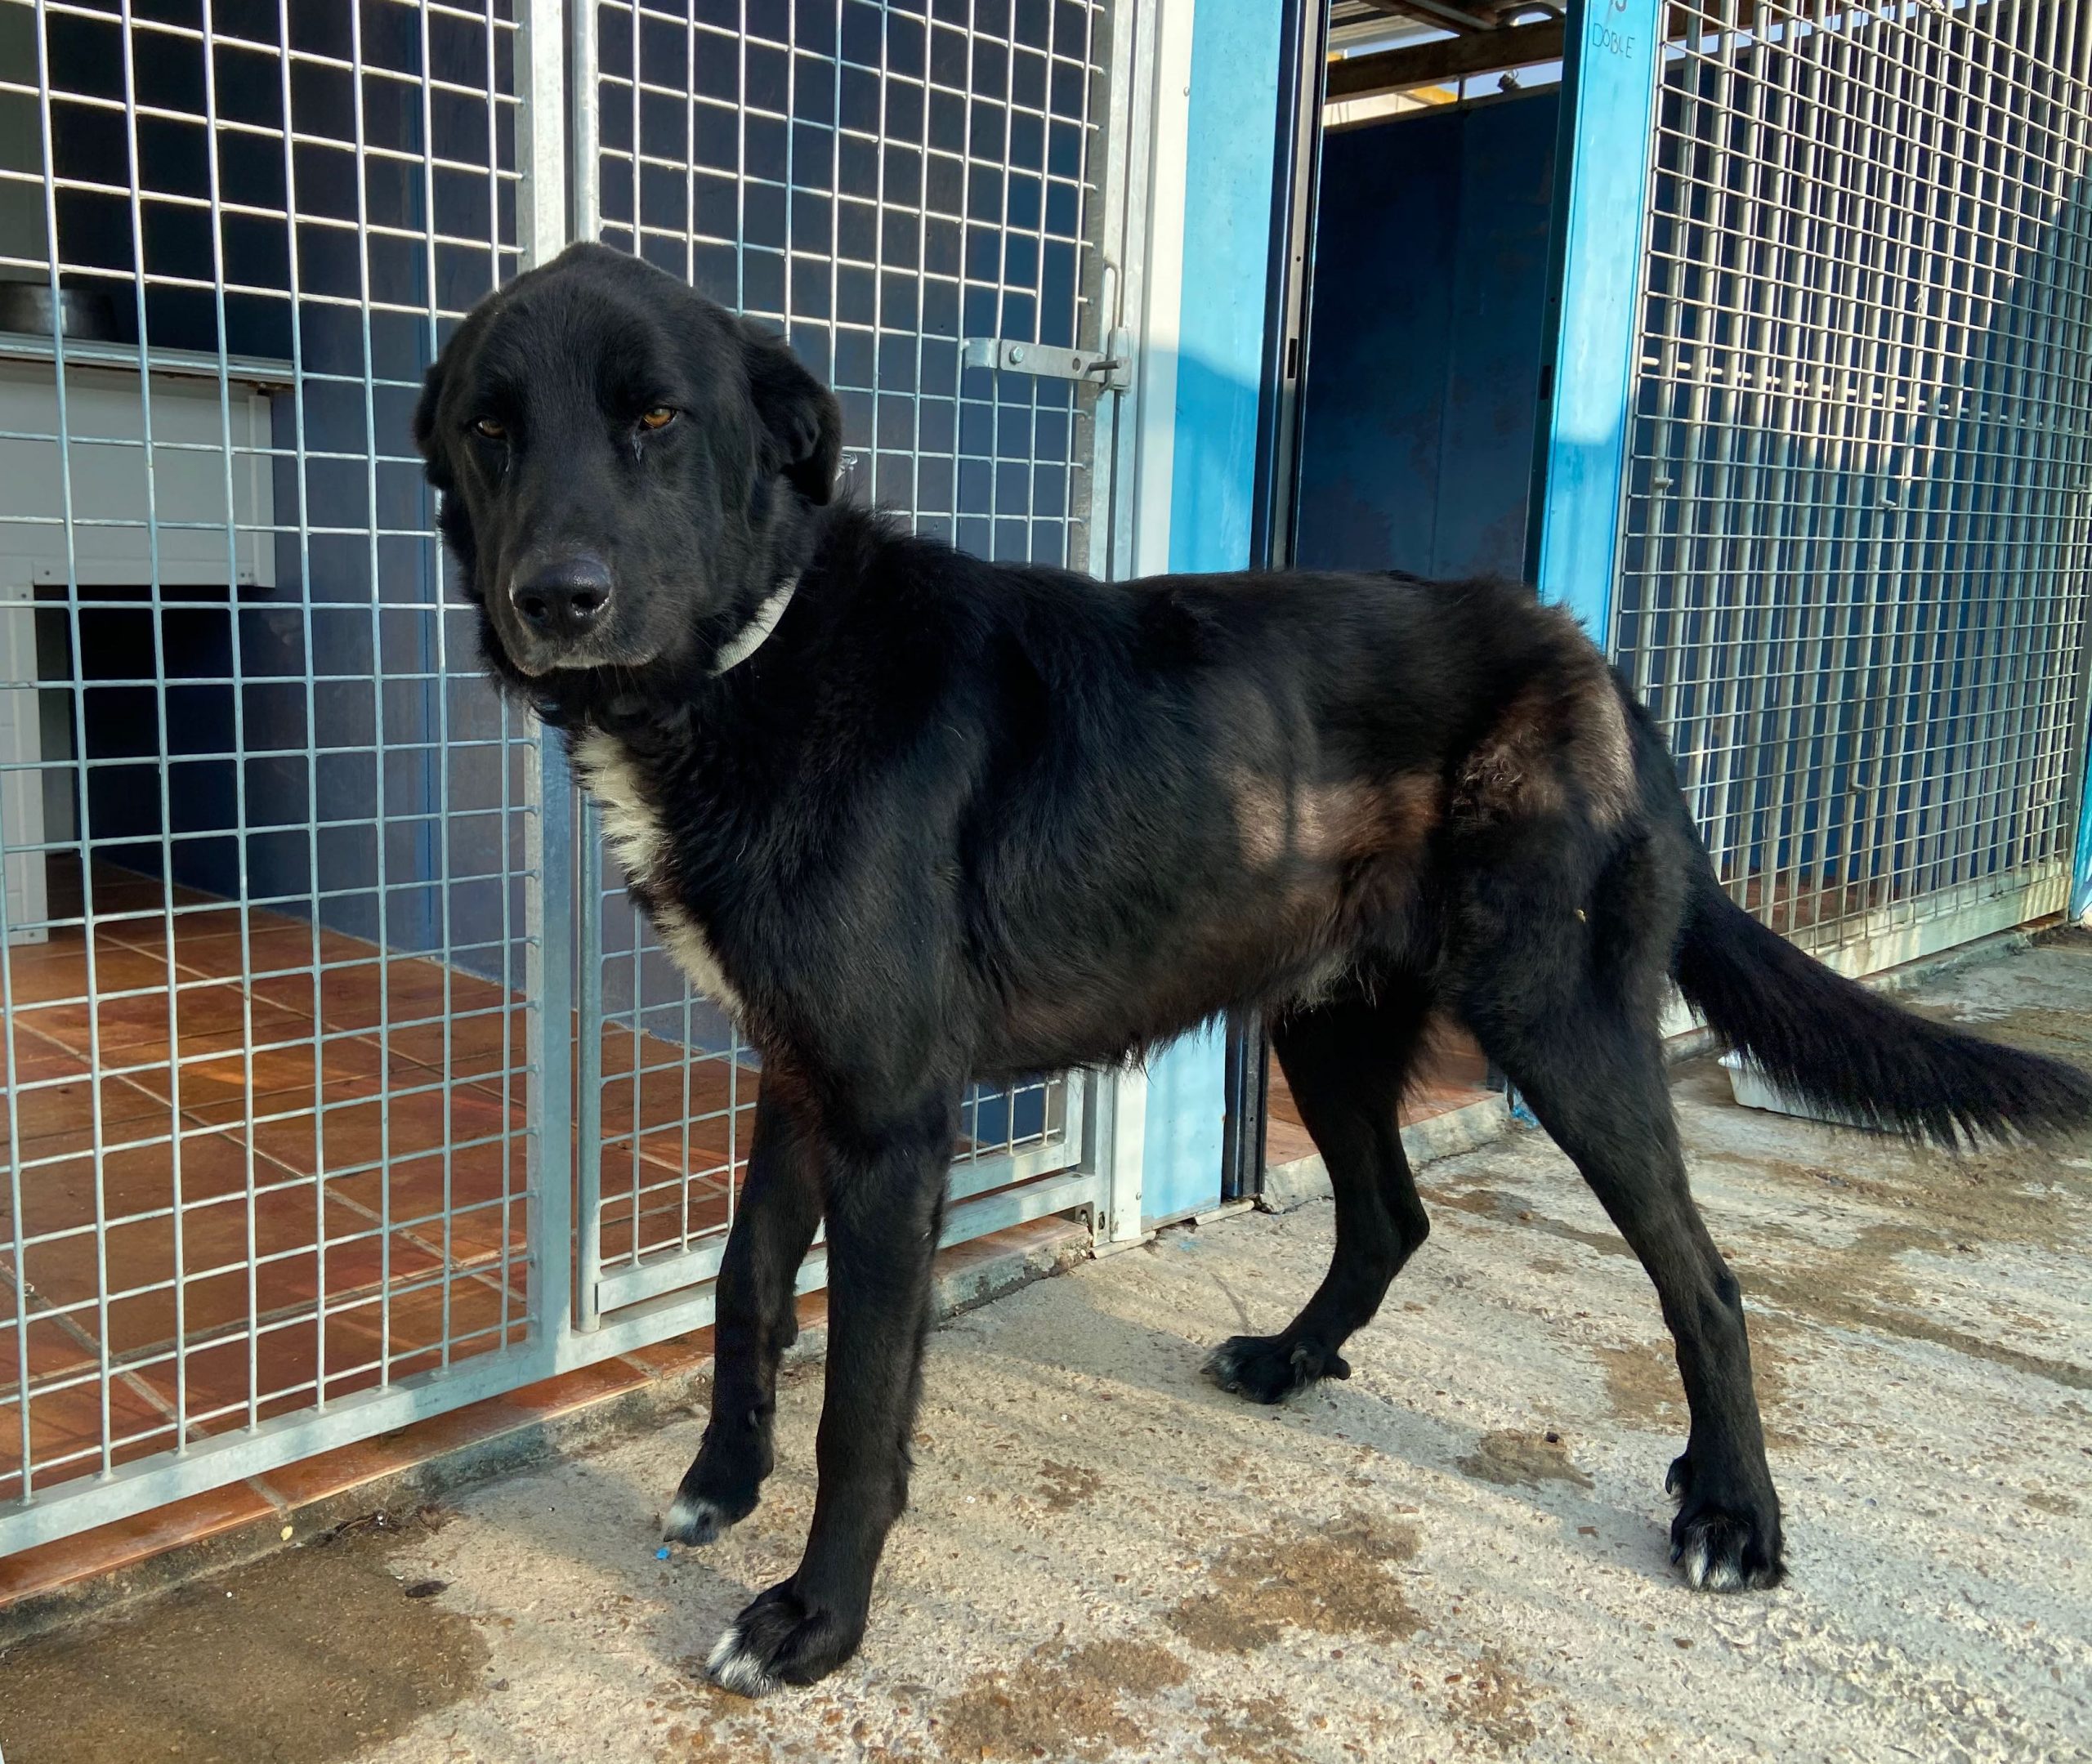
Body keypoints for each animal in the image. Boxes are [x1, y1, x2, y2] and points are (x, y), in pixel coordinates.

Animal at [415, 242, 2092, 1695]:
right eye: (492, 427)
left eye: (656, 417)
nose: (554, 599)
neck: (753, 664)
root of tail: (1595, 657)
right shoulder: (799, 1068)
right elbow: (745, 1284)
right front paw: (719, 1479)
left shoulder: (891, 1114)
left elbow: (864, 1403)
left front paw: (814, 1620)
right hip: (1333, 1023)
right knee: (1394, 1214)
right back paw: (1293, 1357)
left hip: (1555, 1019)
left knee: (1710, 1279)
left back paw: (1735, 1512)